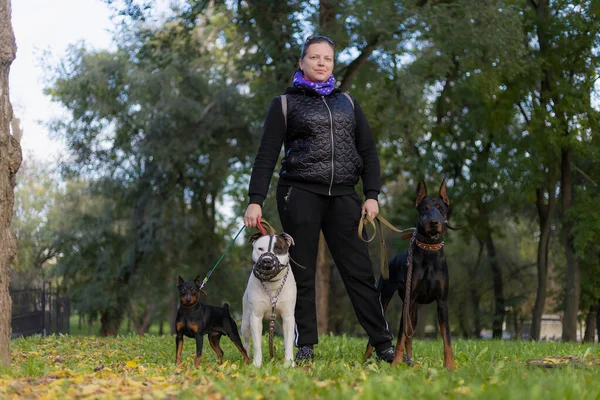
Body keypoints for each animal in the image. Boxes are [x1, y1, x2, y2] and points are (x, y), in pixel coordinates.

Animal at [241, 231, 298, 366]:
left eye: (278, 249)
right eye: (260, 249)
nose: (267, 260)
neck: (272, 283)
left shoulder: (288, 318)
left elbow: (288, 343)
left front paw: (289, 364)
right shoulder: (255, 317)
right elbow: (257, 345)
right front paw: (257, 364)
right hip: (245, 322)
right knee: (246, 342)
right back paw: (246, 359)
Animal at [366, 180, 454, 368]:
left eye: (440, 208)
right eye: (424, 209)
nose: (434, 222)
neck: (429, 252)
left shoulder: (442, 303)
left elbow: (447, 337)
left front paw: (450, 366)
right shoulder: (408, 301)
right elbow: (400, 337)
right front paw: (396, 364)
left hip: (414, 312)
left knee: (410, 337)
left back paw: (411, 360)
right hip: (386, 298)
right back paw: (367, 359)